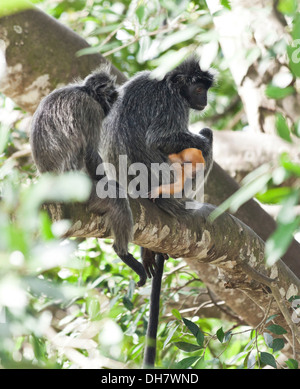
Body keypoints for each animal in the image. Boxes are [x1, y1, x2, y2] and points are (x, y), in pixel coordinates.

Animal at [30, 66, 148, 284]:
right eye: (111, 94)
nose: (114, 100)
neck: (84, 91)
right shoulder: (91, 110)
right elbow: (90, 153)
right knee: (116, 199)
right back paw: (122, 252)